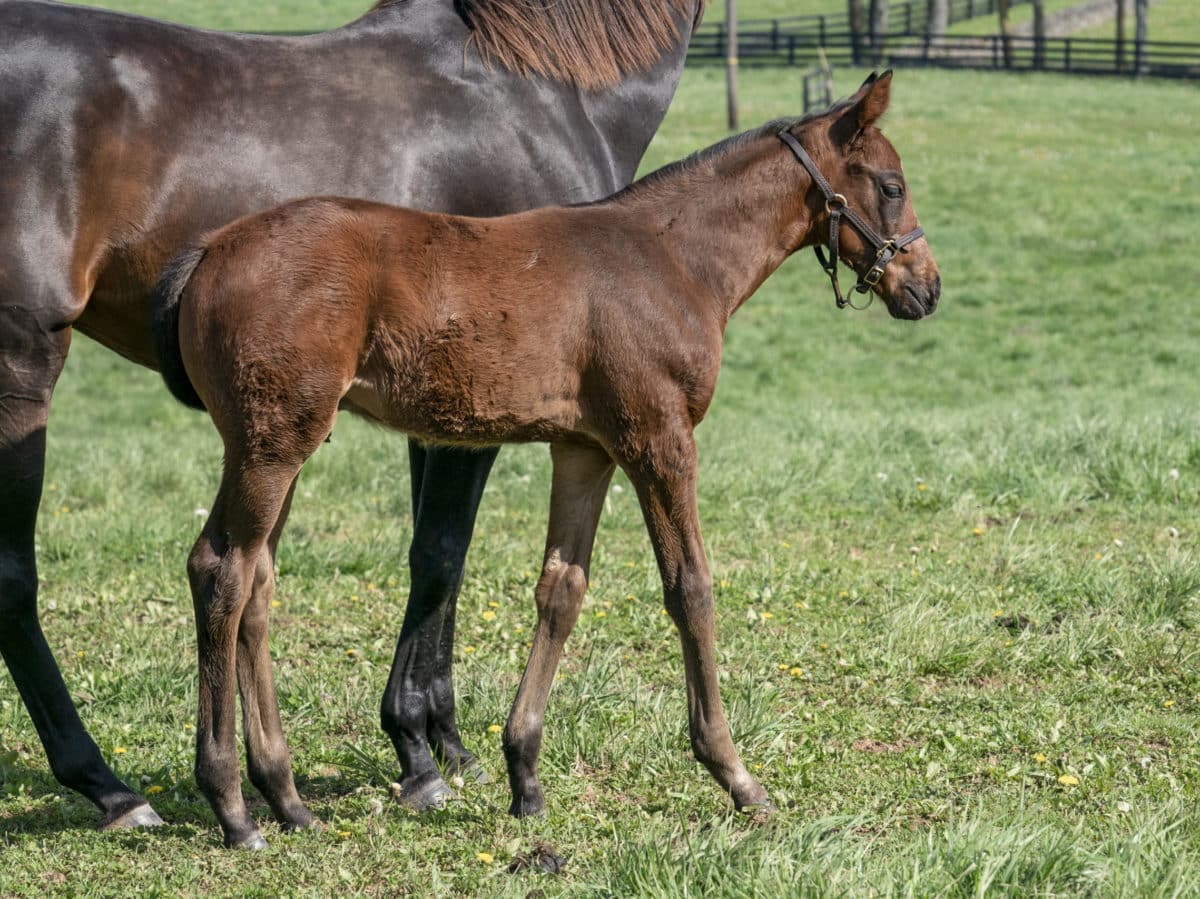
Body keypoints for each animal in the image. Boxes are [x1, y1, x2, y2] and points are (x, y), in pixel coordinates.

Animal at [152, 72, 936, 849]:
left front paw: (524, 775)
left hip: (278, 443)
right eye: (892, 184)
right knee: (222, 573)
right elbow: (691, 589)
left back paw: (286, 797)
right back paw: (232, 805)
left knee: (254, 582)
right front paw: (737, 777)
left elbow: (562, 589)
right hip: (272, 444)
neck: (672, 258)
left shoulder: (586, 448)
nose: (926, 288)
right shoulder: (659, 438)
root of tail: (210, 250)